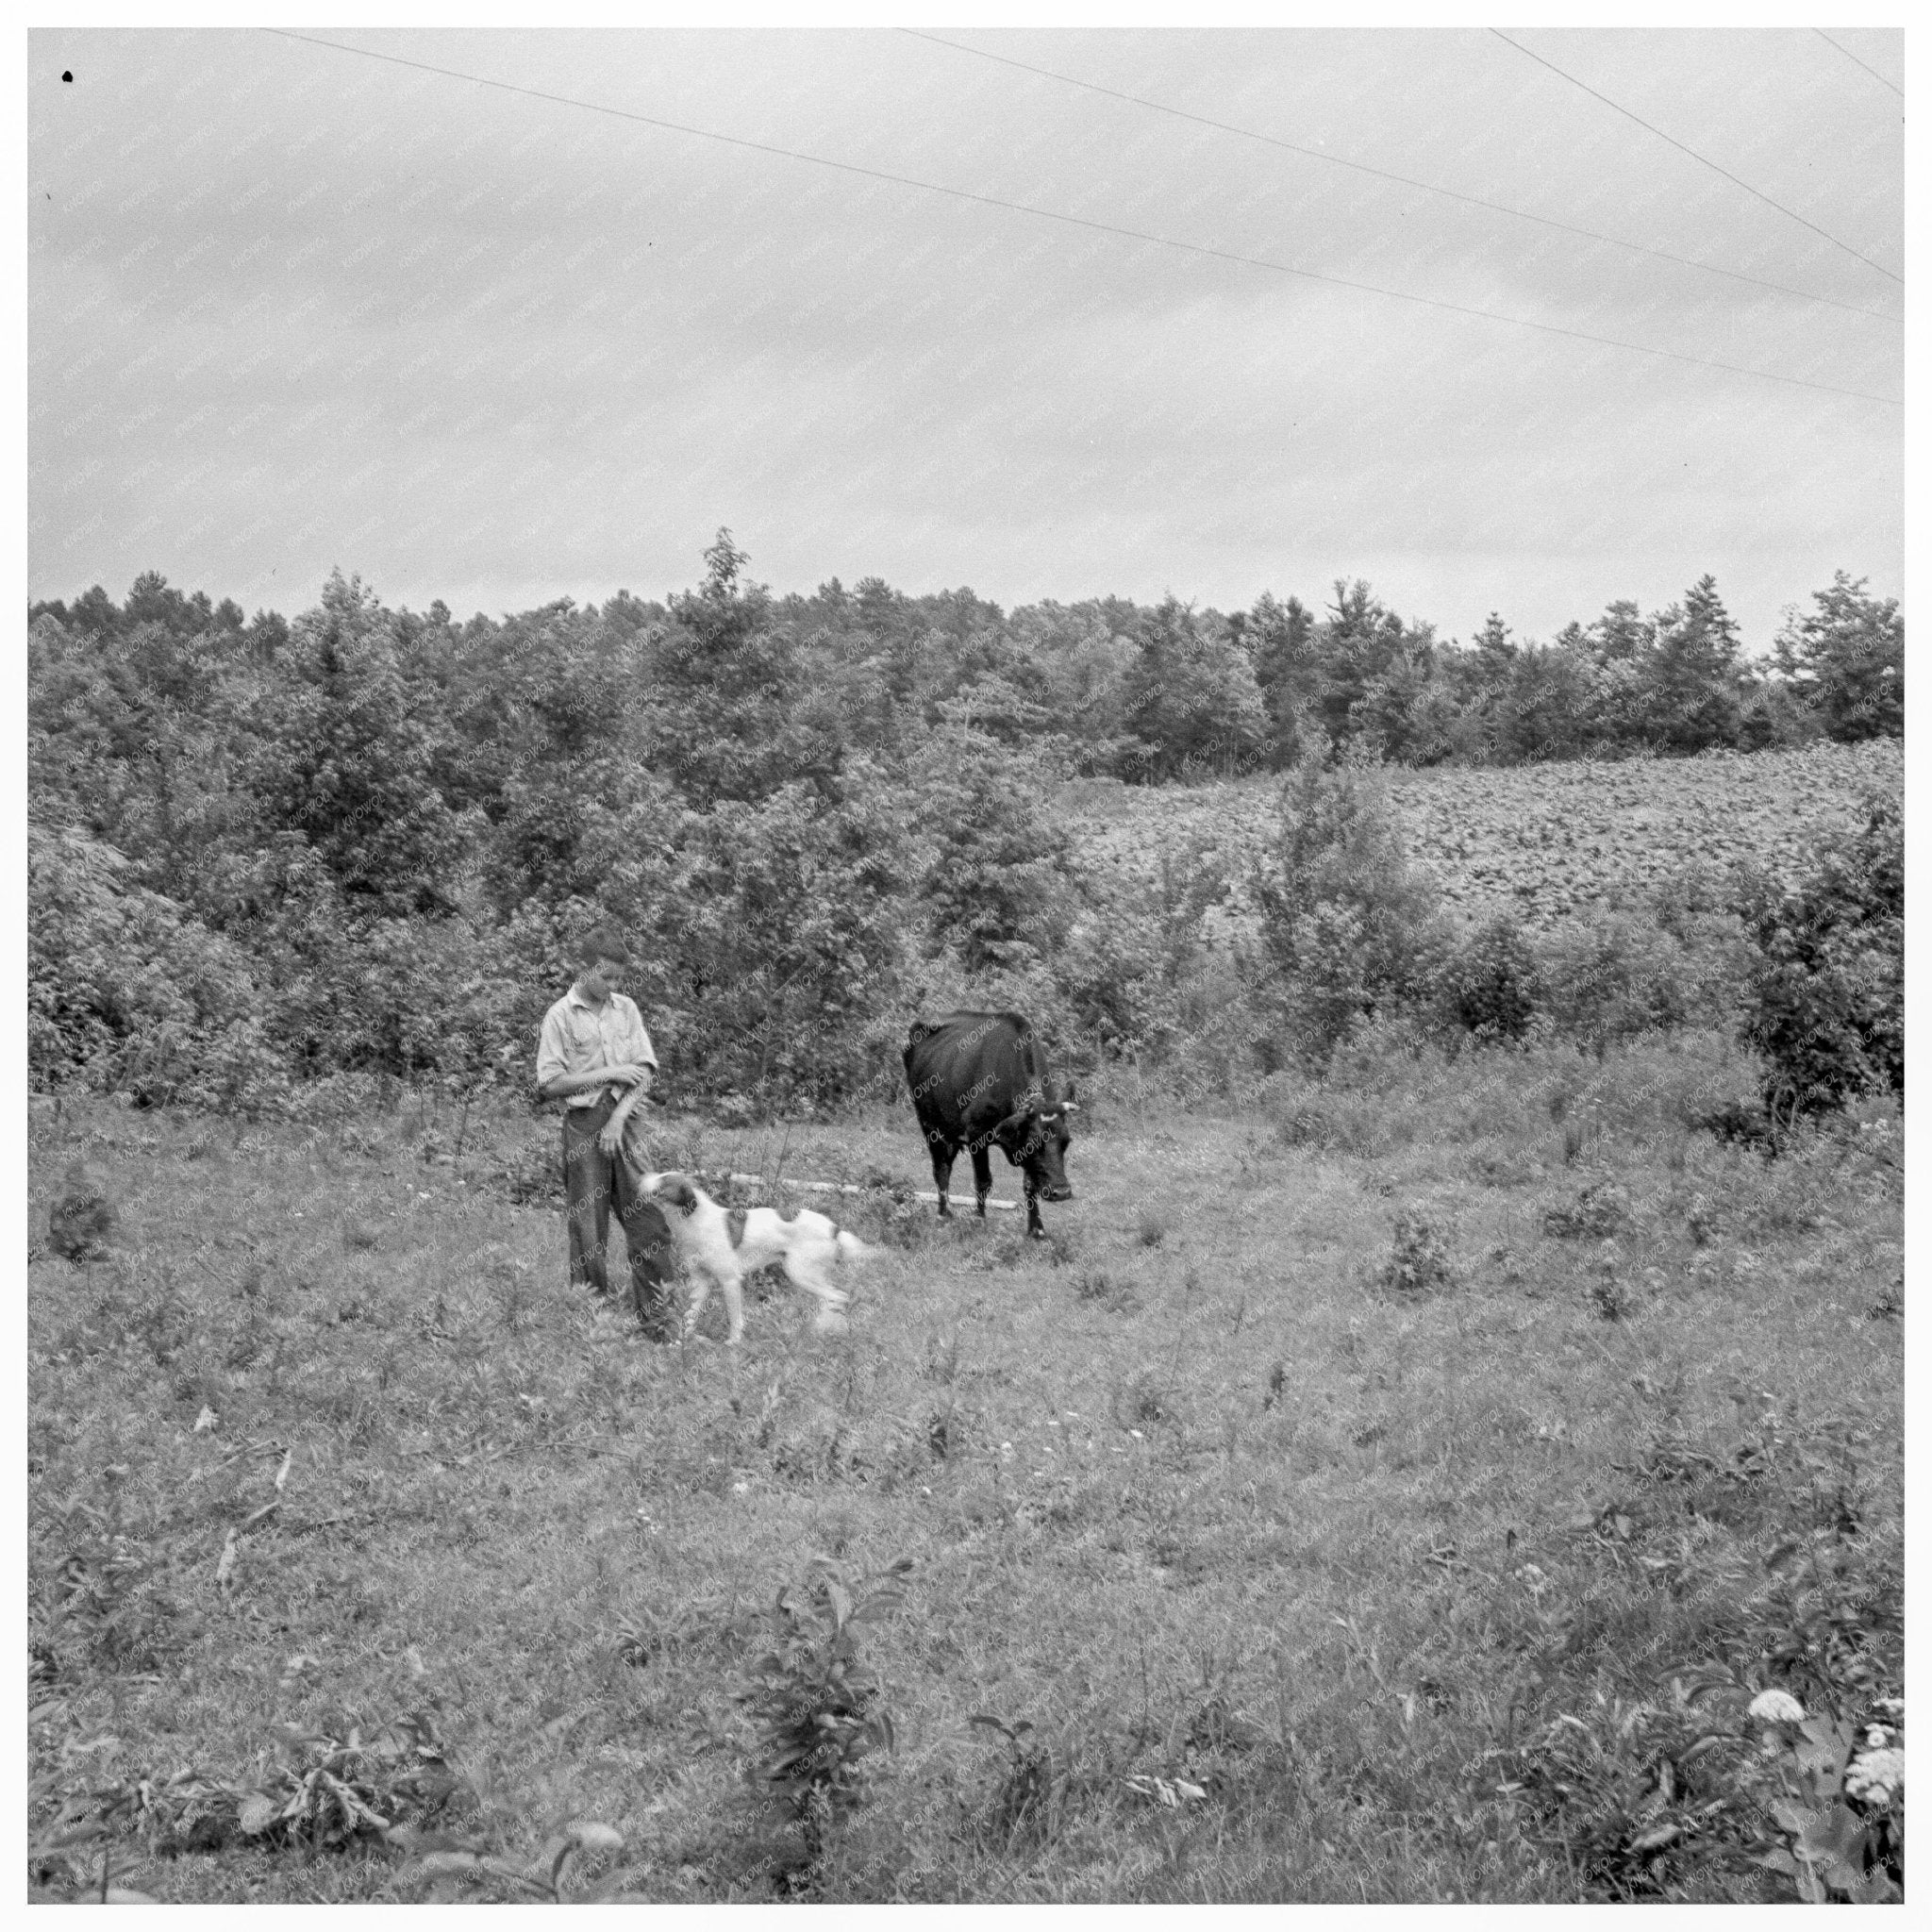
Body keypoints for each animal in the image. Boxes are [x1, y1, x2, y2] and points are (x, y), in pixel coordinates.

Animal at [633, 1166, 876, 1352]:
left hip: (799, 1273)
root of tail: (834, 1228)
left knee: (839, 1296)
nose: (639, 1178)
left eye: (663, 1182)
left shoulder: (730, 1280)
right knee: (835, 1298)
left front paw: (733, 1343)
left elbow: (734, 1318)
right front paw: (679, 1343)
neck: (695, 1220)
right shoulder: (700, 1281)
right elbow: (689, 1316)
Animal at [900, 1012, 1081, 1236]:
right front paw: (979, 1219)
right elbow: (983, 1180)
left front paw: (1036, 1229)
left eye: (1066, 1141)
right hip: (928, 1124)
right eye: (1034, 1143)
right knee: (940, 1169)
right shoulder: (977, 1134)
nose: (1061, 1191)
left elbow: (1030, 1184)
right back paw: (943, 1213)